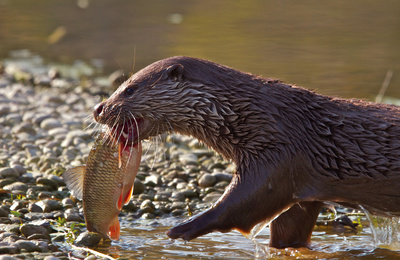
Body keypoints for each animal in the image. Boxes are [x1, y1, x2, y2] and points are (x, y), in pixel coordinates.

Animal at [92, 56, 400, 248]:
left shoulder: (277, 158)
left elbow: (241, 205)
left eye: (130, 89)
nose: (99, 108)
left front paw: (183, 228)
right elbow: (289, 229)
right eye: (121, 84)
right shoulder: (300, 189)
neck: (254, 116)